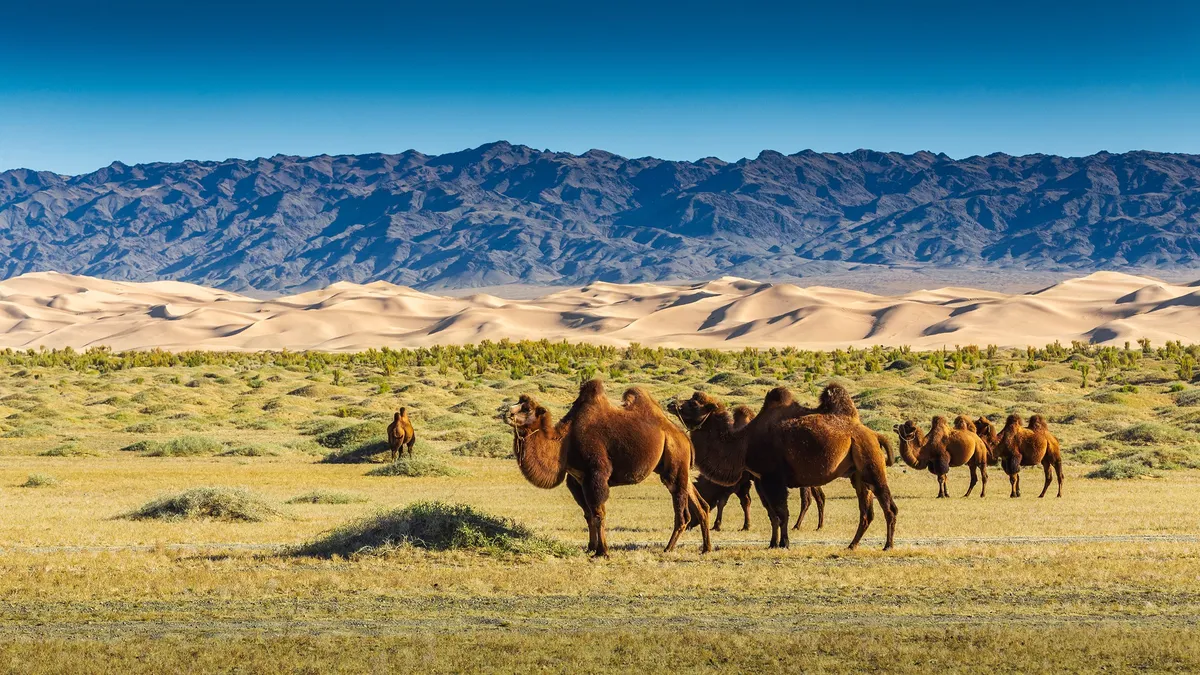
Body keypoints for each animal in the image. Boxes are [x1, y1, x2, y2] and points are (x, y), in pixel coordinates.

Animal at [505, 380, 711, 557]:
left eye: (526, 408)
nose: (507, 413)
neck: (564, 442)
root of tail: (684, 437)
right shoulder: (577, 481)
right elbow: (588, 514)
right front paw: (591, 547)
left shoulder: (596, 475)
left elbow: (598, 514)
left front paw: (602, 552)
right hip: (675, 467)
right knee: (700, 504)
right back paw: (706, 548)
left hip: (675, 460)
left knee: (681, 510)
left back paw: (668, 548)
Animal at [670, 384, 897, 551]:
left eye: (693, 403)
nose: (672, 403)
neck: (743, 442)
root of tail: (875, 434)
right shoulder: (760, 479)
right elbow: (772, 514)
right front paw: (773, 543)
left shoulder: (773, 477)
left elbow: (782, 512)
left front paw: (784, 543)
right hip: (858, 475)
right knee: (866, 512)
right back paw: (852, 545)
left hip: (871, 463)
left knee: (889, 506)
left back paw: (888, 545)